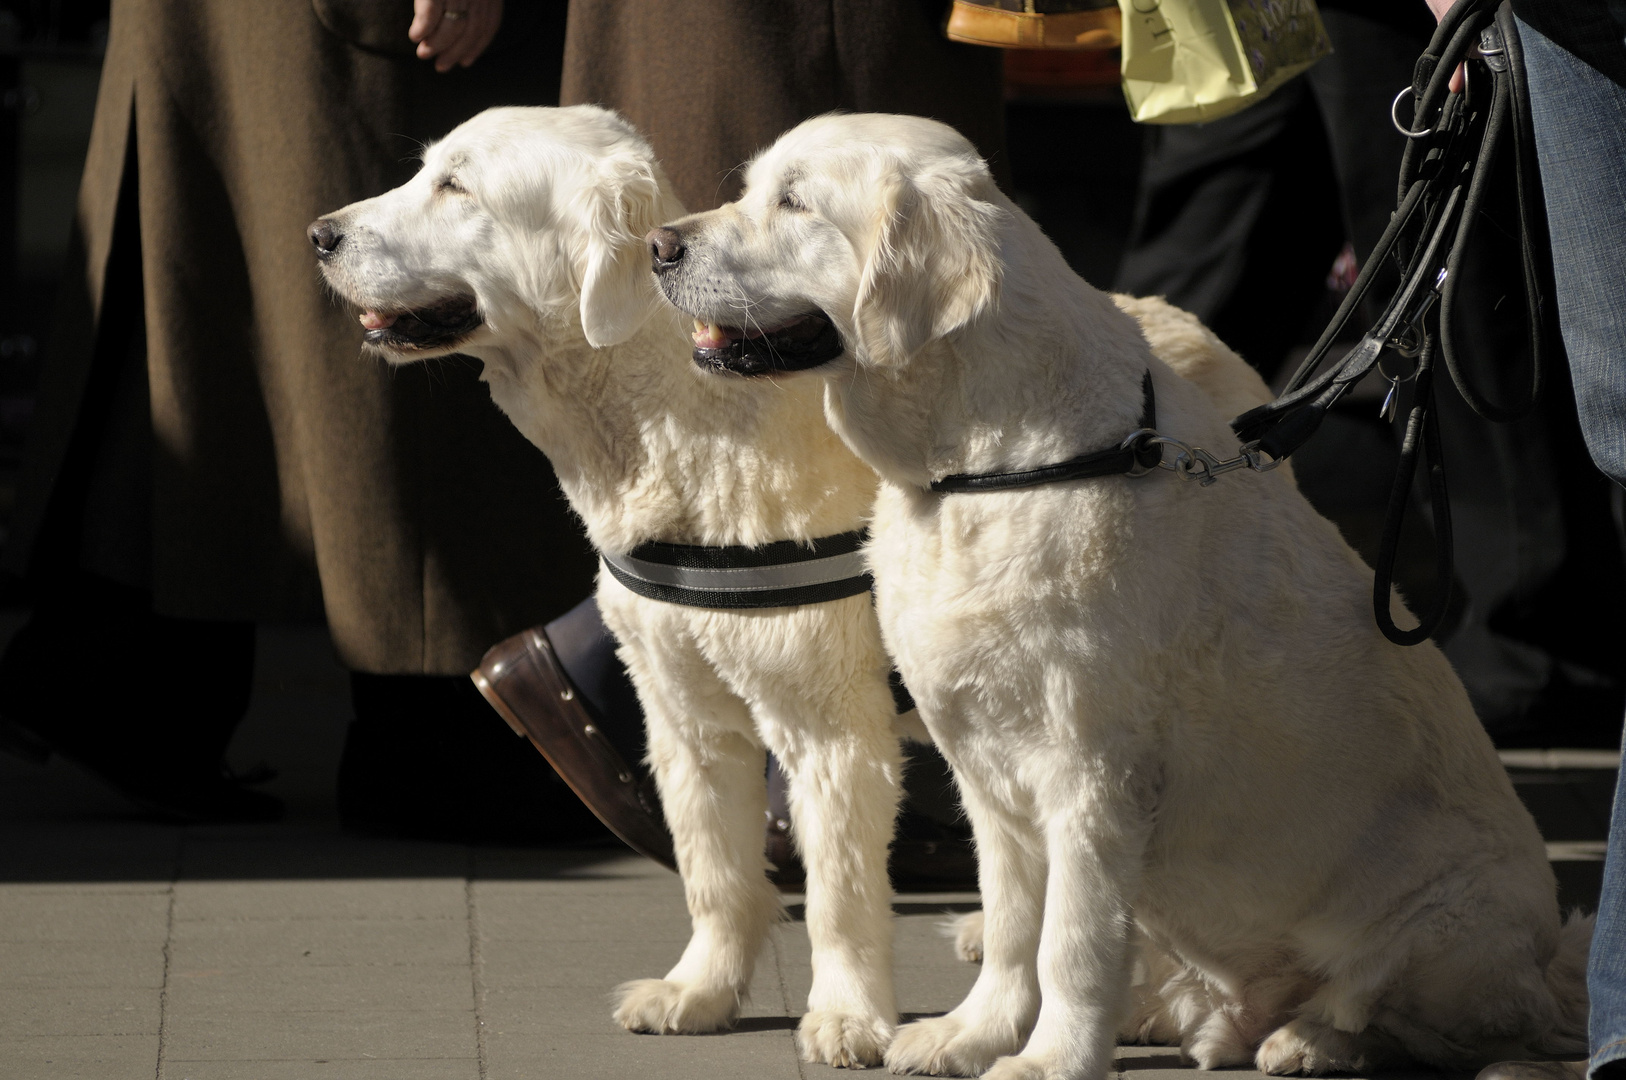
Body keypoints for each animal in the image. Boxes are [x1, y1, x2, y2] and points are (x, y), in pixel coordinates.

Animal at [307, 105, 917, 1066]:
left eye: (456, 186)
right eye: (424, 169)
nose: (319, 235)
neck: (686, 429)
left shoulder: (832, 725)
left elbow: (839, 891)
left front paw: (849, 1017)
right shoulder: (682, 710)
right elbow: (713, 870)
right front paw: (700, 990)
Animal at [650, 111, 1586, 1080]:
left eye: (795, 202)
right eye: (752, 186)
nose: (658, 245)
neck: (983, 470)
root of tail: (1551, 964)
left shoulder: (1094, 773)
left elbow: (1072, 942)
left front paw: (1048, 1060)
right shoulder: (985, 771)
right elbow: (1013, 929)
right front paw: (972, 1033)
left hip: (1450, 924)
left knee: (1407, 1016)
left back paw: (1313, 1037)